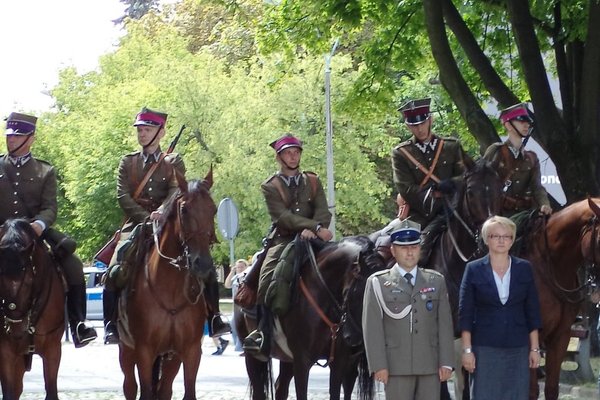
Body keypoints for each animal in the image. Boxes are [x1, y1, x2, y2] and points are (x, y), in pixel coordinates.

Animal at [116, 171, 216, 400]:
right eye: (184, 210)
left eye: (214, 209)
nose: (203, 264)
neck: (170, 289)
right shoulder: (144, 350)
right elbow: (145, 391)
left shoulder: (190, 351)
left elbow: (187, 392)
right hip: (126, 350)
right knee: (130, 386)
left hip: (170, 358)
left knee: (164, 390)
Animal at [236, 236, 384, 400]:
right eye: (365, 292)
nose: (356, 339)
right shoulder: (302, 362)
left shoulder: (339, 362)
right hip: (252, 356)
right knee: (259, 390)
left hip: (288, 359)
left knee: (281, 387)